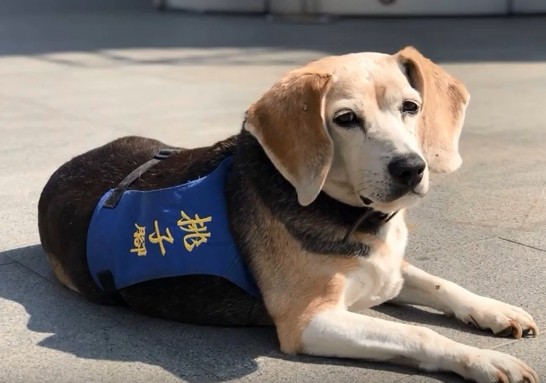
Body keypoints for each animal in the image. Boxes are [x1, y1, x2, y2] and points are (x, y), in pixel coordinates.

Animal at [37, 46, 536, 382]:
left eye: (411, 107)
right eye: (346, 119)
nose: (411, 168)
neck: (349, 214)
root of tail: (62, 170)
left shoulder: (388, 271)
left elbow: (442, 284)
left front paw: (495, 310)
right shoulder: (310, 322)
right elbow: (421, 335)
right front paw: (484, 360)